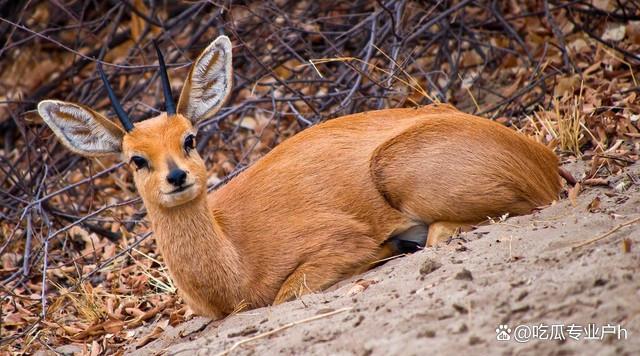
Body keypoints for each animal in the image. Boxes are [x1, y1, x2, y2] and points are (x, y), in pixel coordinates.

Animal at [37, 35, 564, 318]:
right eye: (135, 159)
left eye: (189, 137)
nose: (177, 177)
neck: (234, 263)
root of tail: (539, 158)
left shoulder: (337, 242)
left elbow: (291, 290)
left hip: (401, 171)